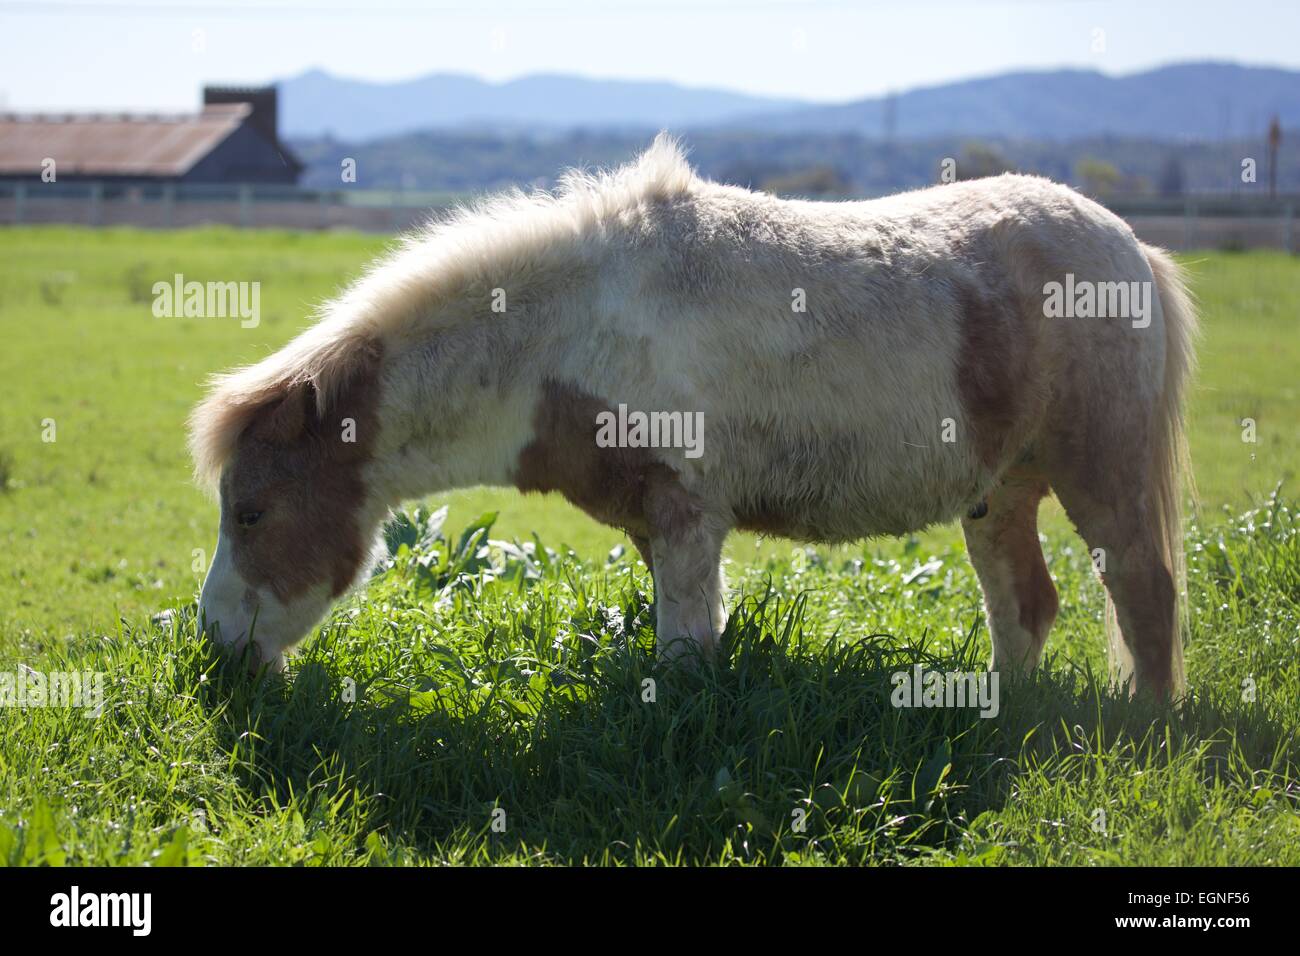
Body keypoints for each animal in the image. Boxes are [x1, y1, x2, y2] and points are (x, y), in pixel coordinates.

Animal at [192, 134, 1196, 697]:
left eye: (253, 511)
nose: (212, 649)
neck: (567, 334)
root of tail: (1133, 245)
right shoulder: (658, 524)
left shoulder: (685, 514)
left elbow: (683, 655)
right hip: (1002, 491)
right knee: (1025, 603)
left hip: (1100, 473)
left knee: (1144, 593)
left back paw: (1147, 727)